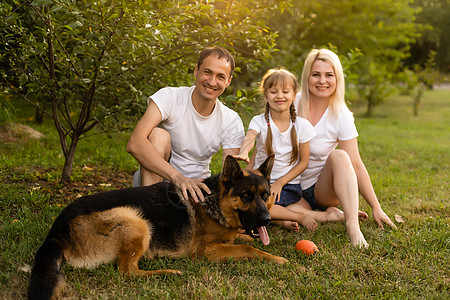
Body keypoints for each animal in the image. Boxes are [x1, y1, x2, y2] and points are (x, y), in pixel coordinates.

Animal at [29, 156, 288, 298]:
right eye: (245, 196)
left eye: (265, 195)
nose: (266, 219)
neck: (215, 202)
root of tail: (56, 231)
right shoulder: (207, 251)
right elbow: (249, 249)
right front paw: (278, 259)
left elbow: (243, 241)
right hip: (136, 220)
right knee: (127, 271)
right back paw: (167, 272)